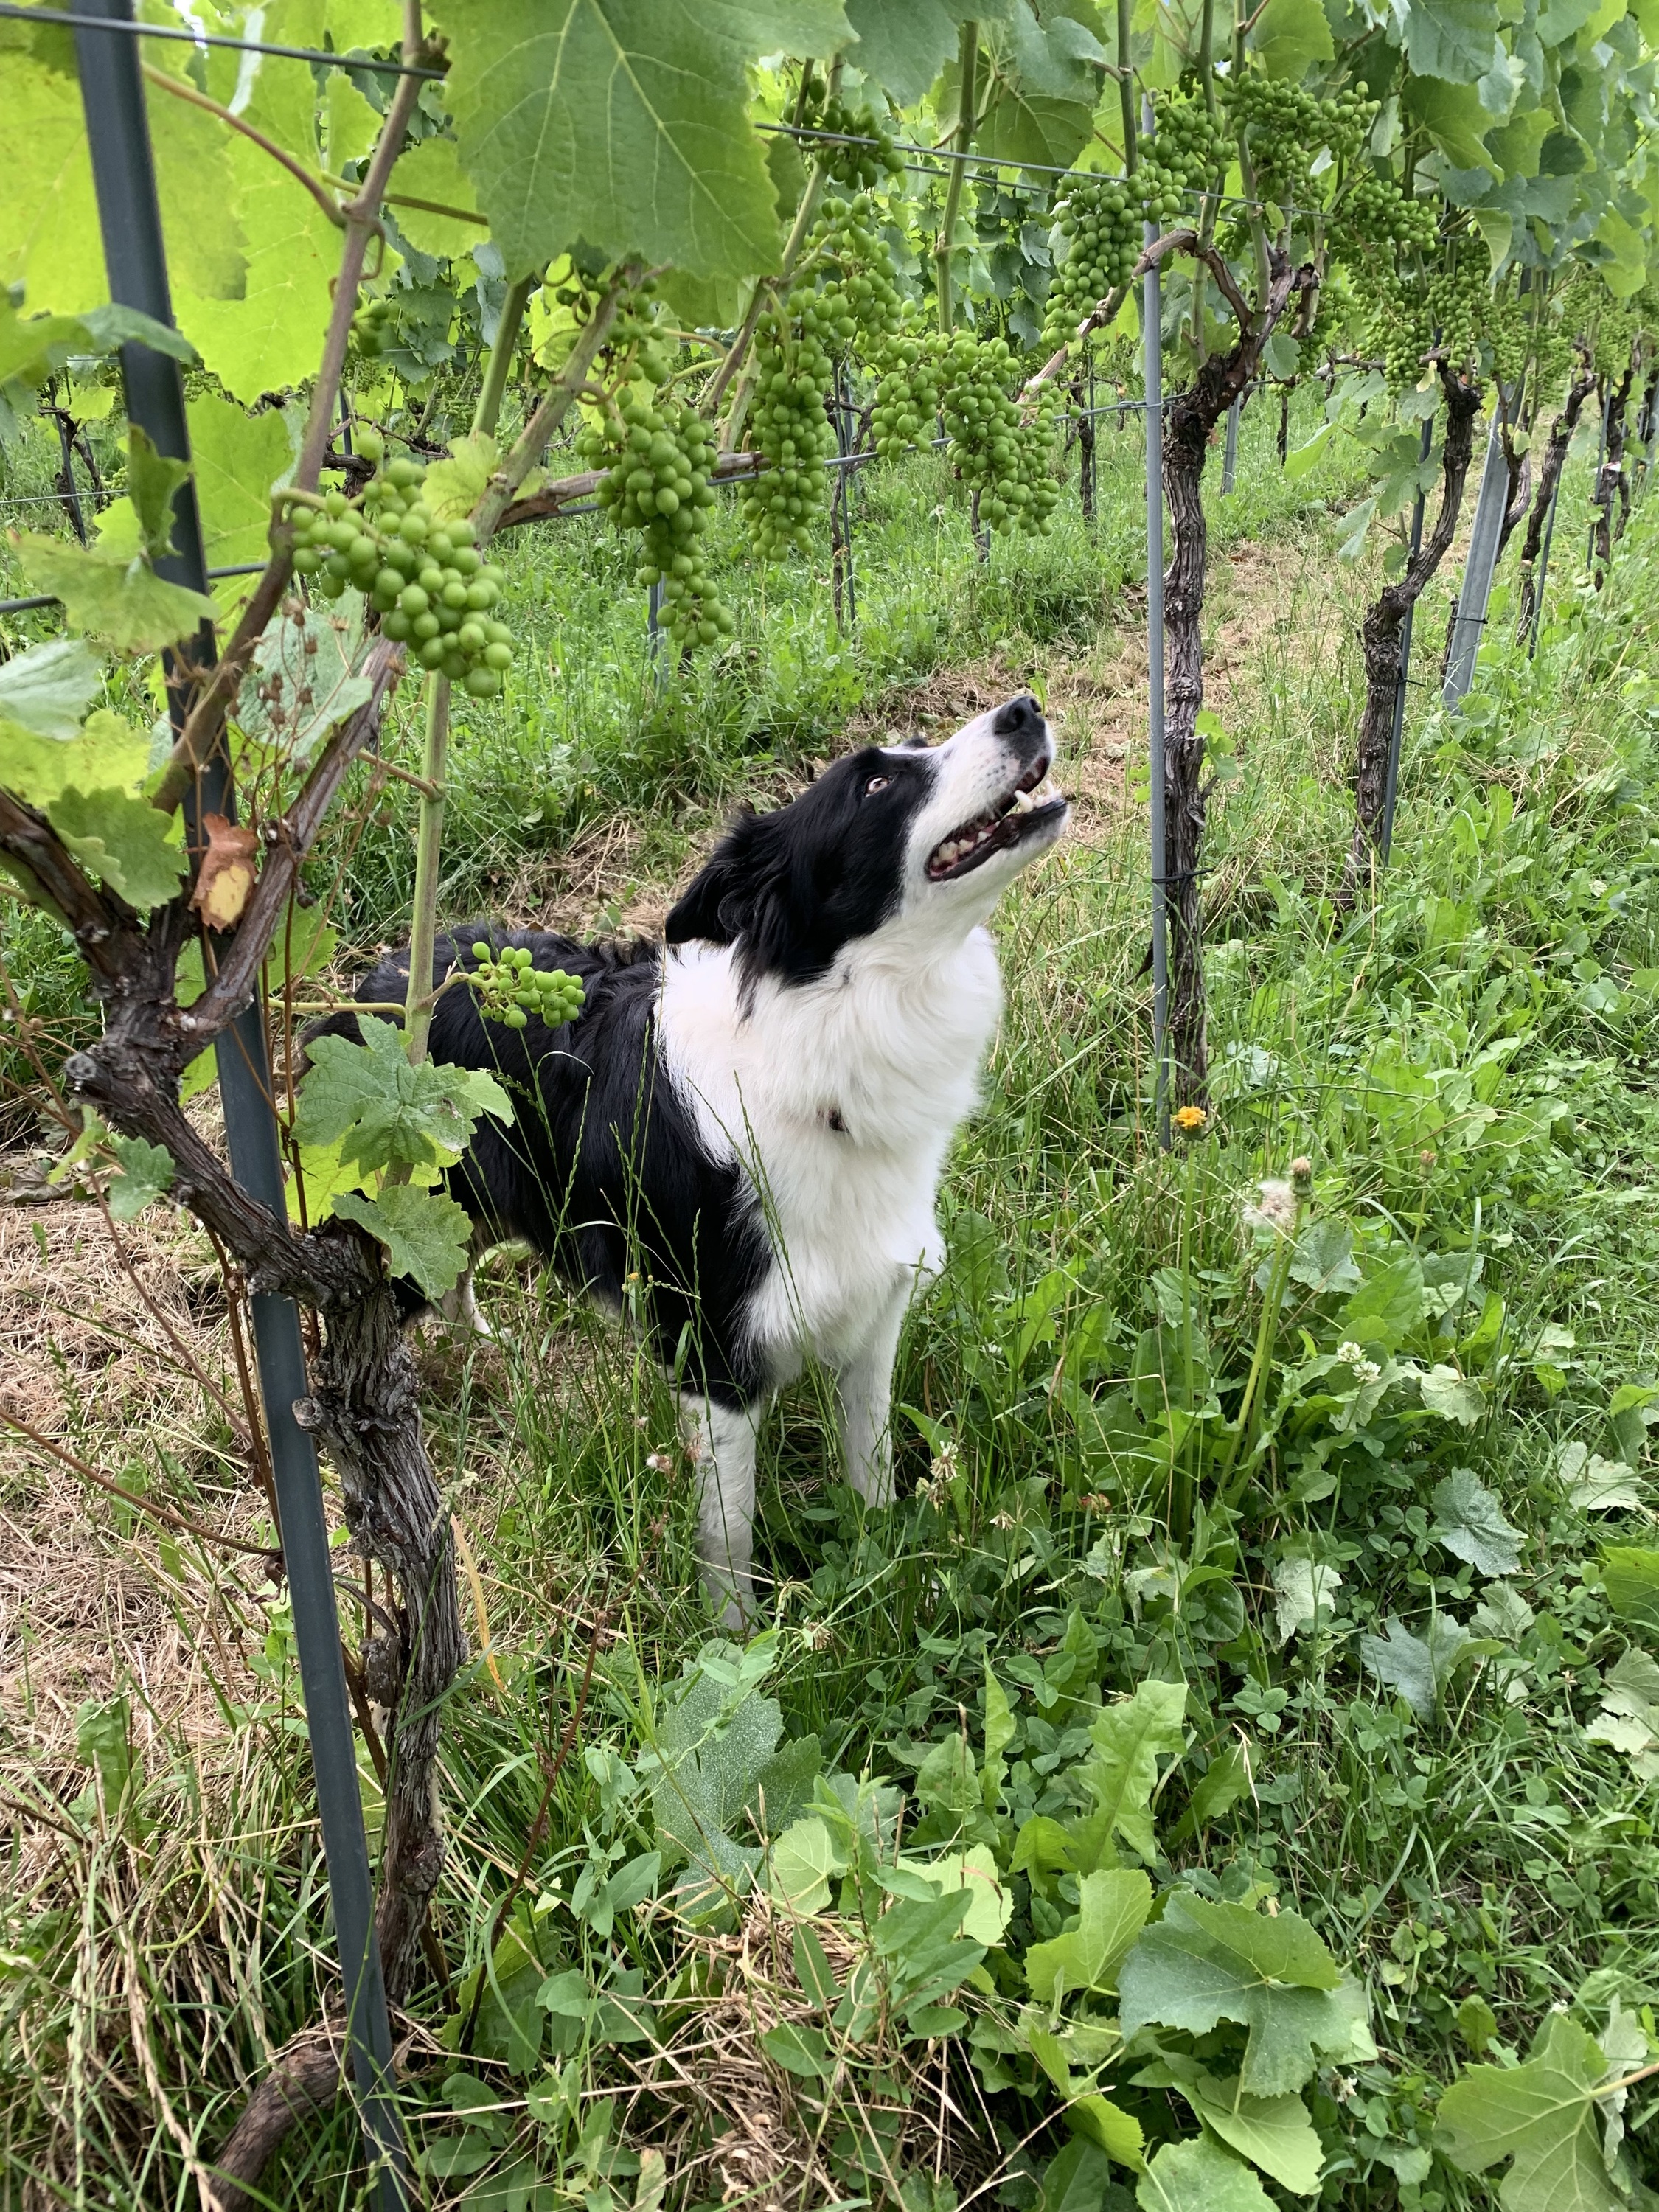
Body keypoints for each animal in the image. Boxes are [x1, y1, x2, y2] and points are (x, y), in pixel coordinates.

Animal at [338, 695, 1066, 1628]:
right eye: (874, 784)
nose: (1024, 709)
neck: (821, 1029)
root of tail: (379, 976)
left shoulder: (874, 1314)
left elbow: (870, 1465)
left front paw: (884, 1565)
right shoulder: (715, 1354)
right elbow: (730, 1532)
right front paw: (736, 1639)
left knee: (455, 1268)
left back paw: (485, 1351)